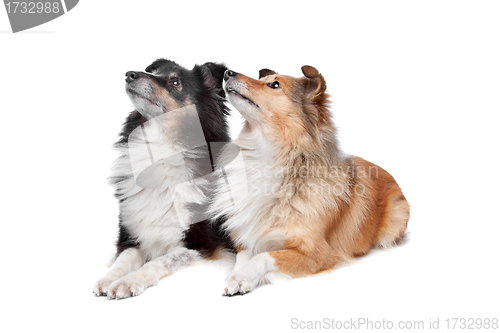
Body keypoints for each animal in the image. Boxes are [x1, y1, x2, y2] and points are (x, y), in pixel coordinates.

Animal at [93, 59, 233, 298]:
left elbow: (160, 261)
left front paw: (129, 281)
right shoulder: (131, 234)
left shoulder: (201, 245)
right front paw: (108, 279)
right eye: (153, 71)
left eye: (175, 82)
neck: (160, 150)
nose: (130, 74)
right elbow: (123, 259)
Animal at [211, 66, 410, 294]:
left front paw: (244, 277)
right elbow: (244, 255)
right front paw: (235, 276)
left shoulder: (317, 254)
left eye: (275, 84)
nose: (228, 73)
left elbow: (263, 256)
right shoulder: (245, 235)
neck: (269, 157)